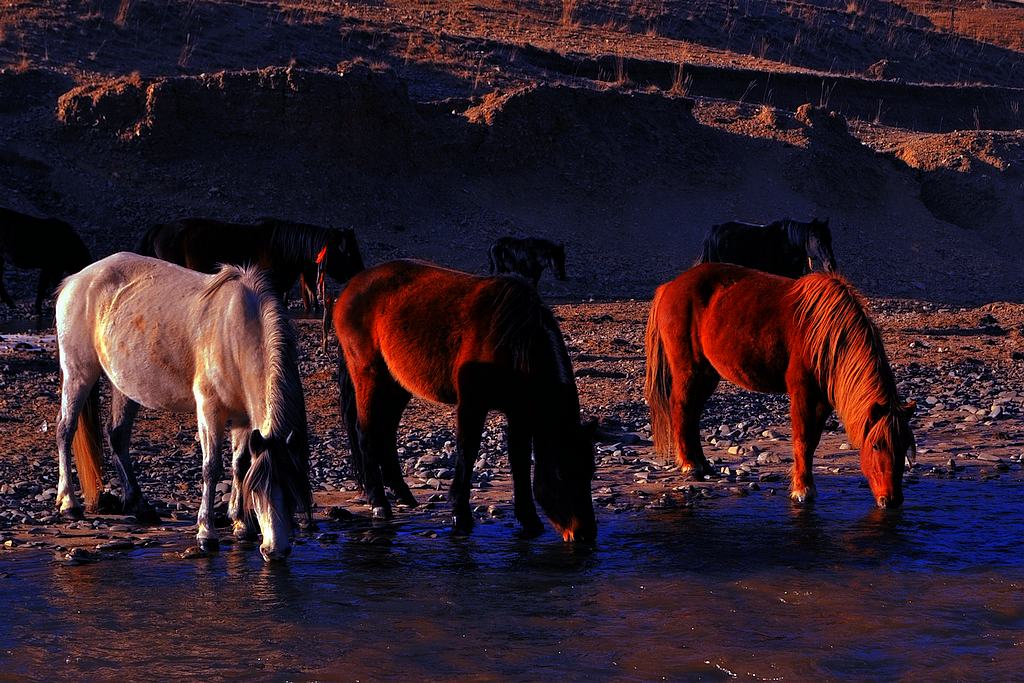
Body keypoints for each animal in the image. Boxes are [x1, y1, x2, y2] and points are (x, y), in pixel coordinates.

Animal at [54, 250, 309, 561]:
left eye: (292, 492)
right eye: (258, 492)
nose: (276, 550)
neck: (235, 331)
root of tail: (75, 280)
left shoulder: (243, 419)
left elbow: (240, 464)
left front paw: (240, 524)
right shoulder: (210, 410)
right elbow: (211, 467)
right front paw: (206, 533)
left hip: (123, 385)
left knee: (117, 436)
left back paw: (140, 506)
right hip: (78, 373)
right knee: (65, 430)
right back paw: (69, 504)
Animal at [331, 259, 598, 540]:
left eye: (590, 471)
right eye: (561, 473)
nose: (584, 534)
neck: (513, 340)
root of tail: (351, 286)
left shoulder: (519, 412)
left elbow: (520, 460)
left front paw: (529, 519)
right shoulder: (472, 404)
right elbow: (467, 452)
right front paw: (460, 515)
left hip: (396, 383)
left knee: (386, 432)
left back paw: (403, 495)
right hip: (369, 375)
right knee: (366, 433)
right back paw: (379, 504)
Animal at [643, 264, 917, 509]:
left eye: (904, 445)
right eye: (876, 445)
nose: (892, 500)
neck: (824, 333)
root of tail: (670, 286)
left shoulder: (823, 399)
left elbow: (812, 440)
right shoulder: (803, 392)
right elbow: (803, 440)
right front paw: (802, 490)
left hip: (708, 373)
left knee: (693, 414)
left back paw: (703, 464)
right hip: (689, 369)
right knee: (682, 407)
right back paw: (690, 464)